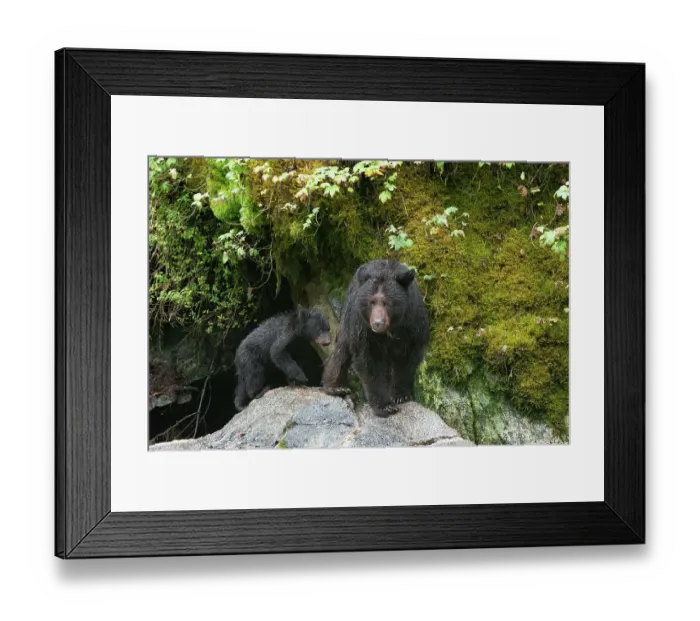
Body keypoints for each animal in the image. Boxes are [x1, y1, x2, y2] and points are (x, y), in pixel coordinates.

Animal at [322, 259, 430, 416]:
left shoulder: (412, 324)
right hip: (348, 314)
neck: (391, 328)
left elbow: (408, 359)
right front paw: (385, 406)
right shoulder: (363, 327)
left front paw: (401, 395)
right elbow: (369, 360)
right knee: (342, 348)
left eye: (386, 302)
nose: (377, 323)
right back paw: (336, 387)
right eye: (371, 302)